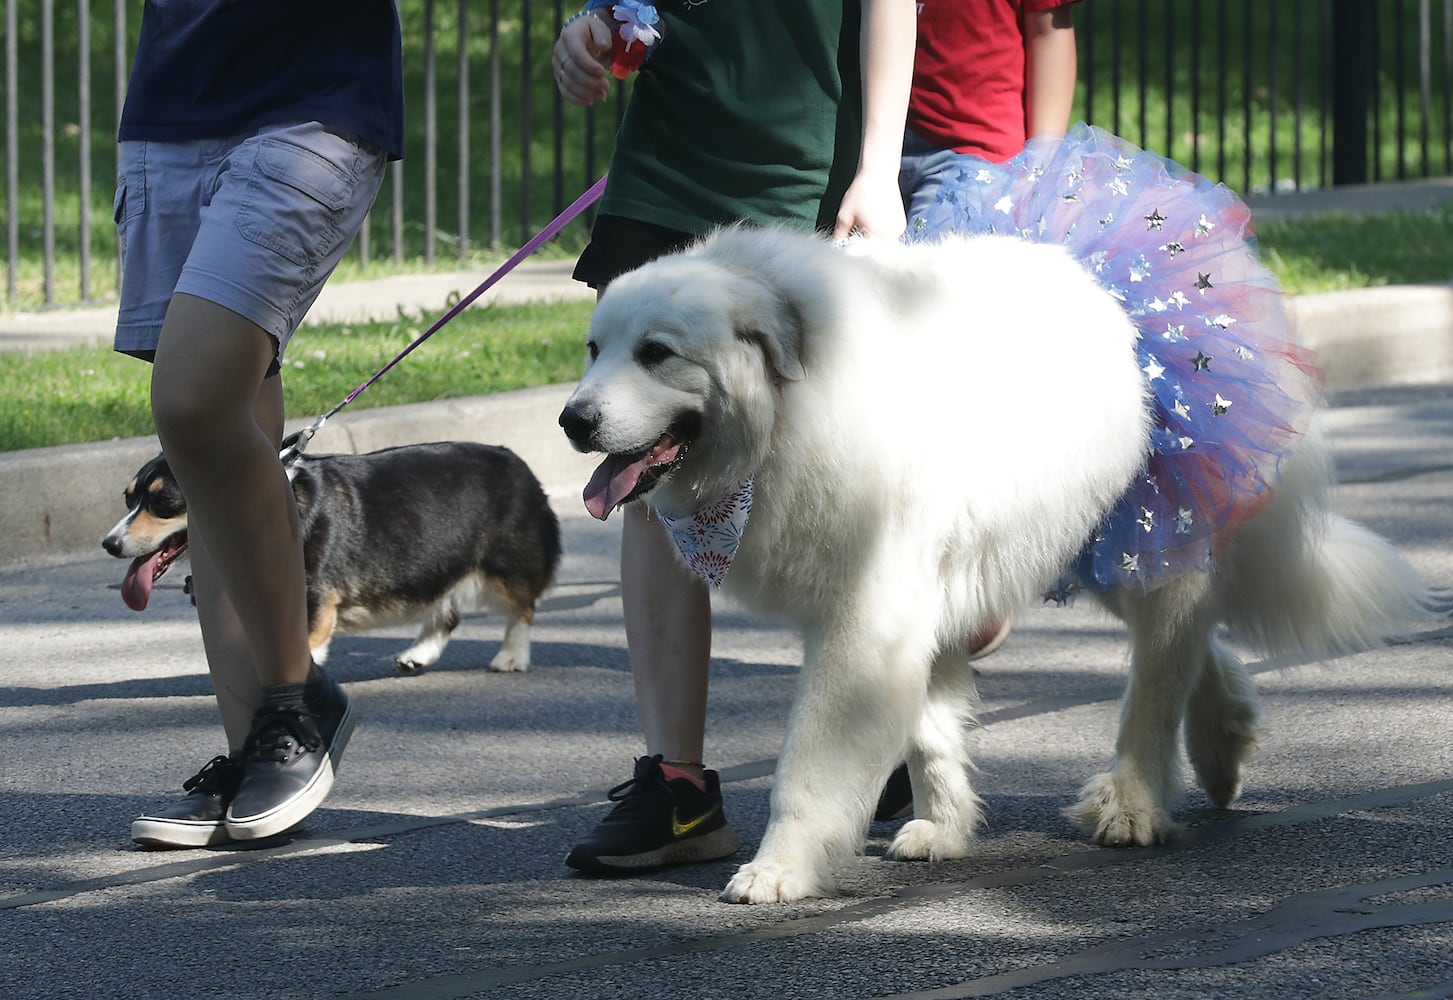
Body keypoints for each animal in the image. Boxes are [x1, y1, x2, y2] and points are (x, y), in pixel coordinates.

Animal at [555, 226, 1429, 906]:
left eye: (657, 353)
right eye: (594, 350)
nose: (571, 420)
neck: (797, 398)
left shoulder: (866, 616)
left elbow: (808, 765)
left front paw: (779, 870)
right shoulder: (906, 609)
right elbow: (930, 732)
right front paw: (943, 828)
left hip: (1147, 542)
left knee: (1158, 679)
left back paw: (1135, 804)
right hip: (1097, 543)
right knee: (1197, 647)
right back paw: (1223, 745)